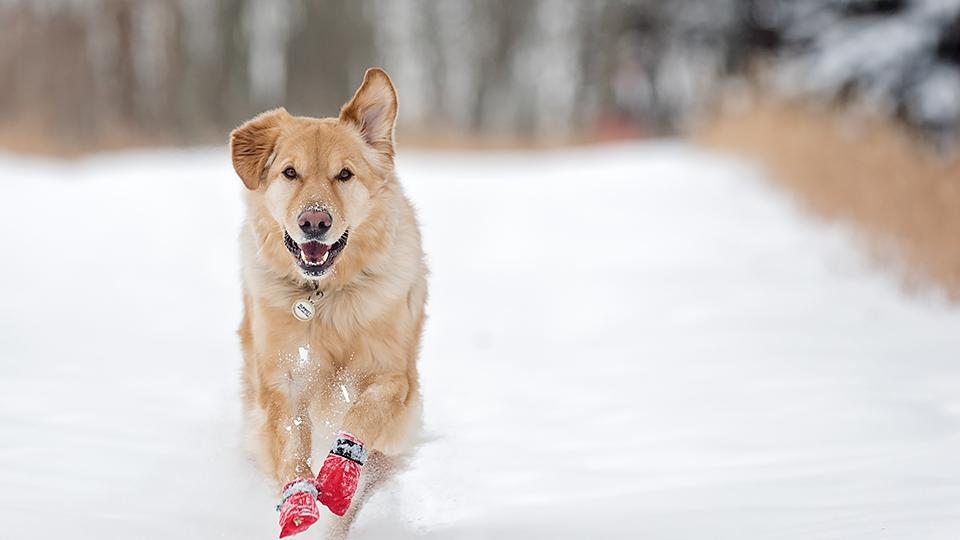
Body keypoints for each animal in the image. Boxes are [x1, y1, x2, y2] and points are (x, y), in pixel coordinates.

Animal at [231, 68, 426, 536]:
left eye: (345, 175)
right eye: (290, 172)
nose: (314, 222)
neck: (325, 298)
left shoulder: (393, 377)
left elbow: (362, 416)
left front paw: (338, 477)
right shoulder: (283, 377)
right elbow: (290, 439)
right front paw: (299, 501)